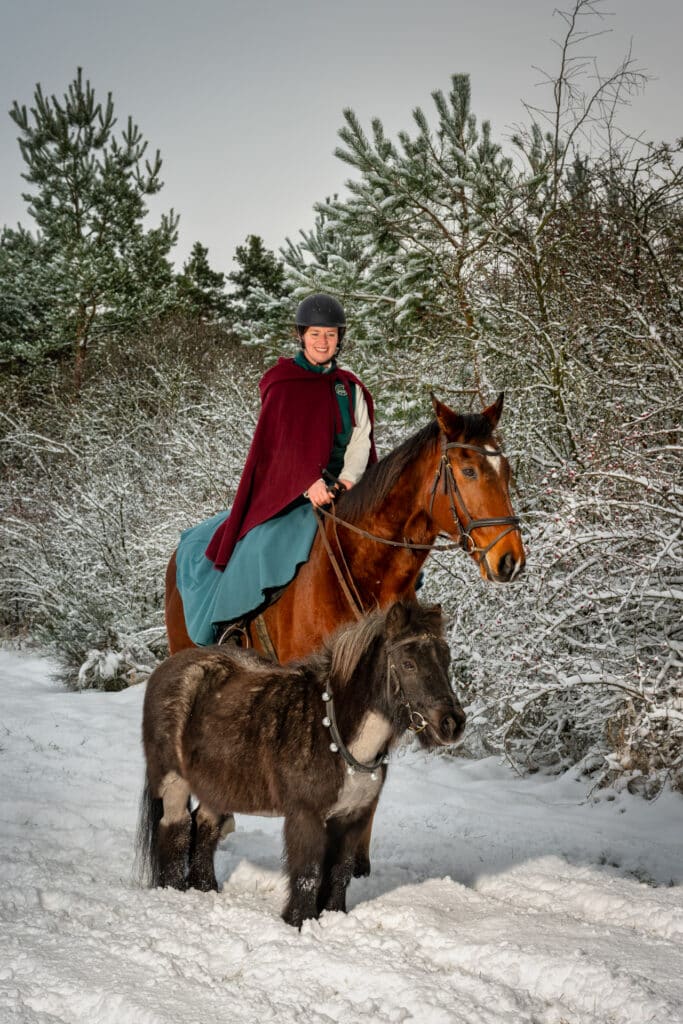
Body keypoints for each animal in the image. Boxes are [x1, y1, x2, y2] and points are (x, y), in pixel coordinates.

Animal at [137, 599, 465, 928]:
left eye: (446, 660)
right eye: (409, 664)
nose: (453, 723)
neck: (336, 734)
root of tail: (166, 669)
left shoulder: (353, 818)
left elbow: (340, 870)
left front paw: (334, 916)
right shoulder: (306, 815)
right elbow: (309, 872)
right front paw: (300, 922)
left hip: (216, 786)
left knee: (205, 826)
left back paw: (205, 889)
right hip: (173, 781)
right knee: (176, 829)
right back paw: (174, 893)